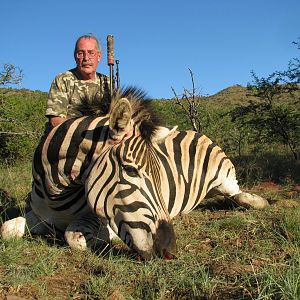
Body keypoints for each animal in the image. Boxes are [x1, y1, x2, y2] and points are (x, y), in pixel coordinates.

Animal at [0, 87, 268, 260]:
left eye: (160, 173)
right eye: (129, 169)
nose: (170, 252)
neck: (56, 195)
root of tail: (195, 131)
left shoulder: (98, 217)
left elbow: (74, 237)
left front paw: (107, 238)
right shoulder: (39, 215)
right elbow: (6, 229)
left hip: (225, 177)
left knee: (238, 194)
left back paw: (256, 200)